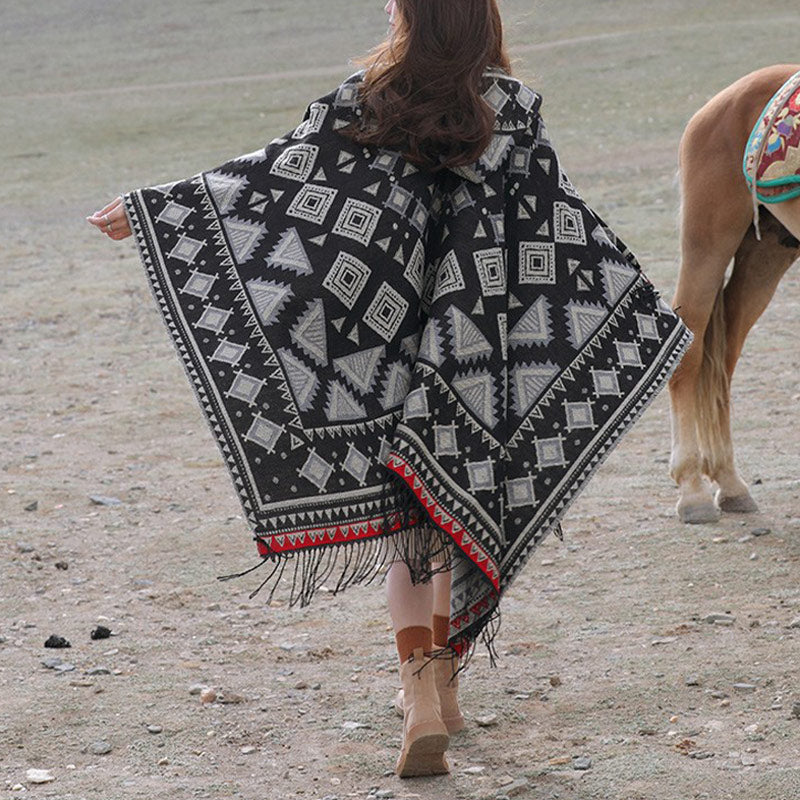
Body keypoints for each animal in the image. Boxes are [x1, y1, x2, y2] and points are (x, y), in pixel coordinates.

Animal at [668, 64, 800, 524]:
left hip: (766, 256)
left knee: (721, 367)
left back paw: (729, 483)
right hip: (707, 246)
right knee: (690, 356)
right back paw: (693, 491)